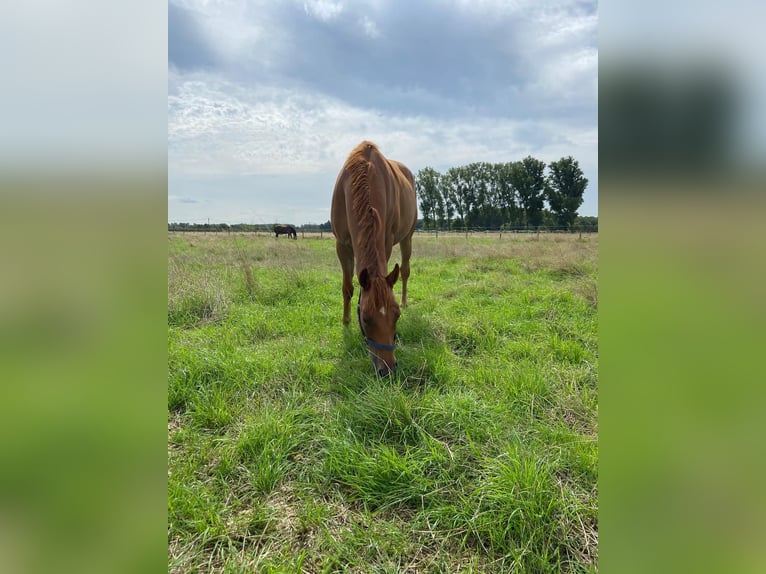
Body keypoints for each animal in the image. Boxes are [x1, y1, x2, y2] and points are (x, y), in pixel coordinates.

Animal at [328, 141, 416, 378]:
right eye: (366, 318)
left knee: (405, 271)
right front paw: (346, 322)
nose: (387, 370)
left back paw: (405, 300)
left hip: (407, 237)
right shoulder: (342, 245)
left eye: (396, 316)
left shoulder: (385, 241)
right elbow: (348, 287)